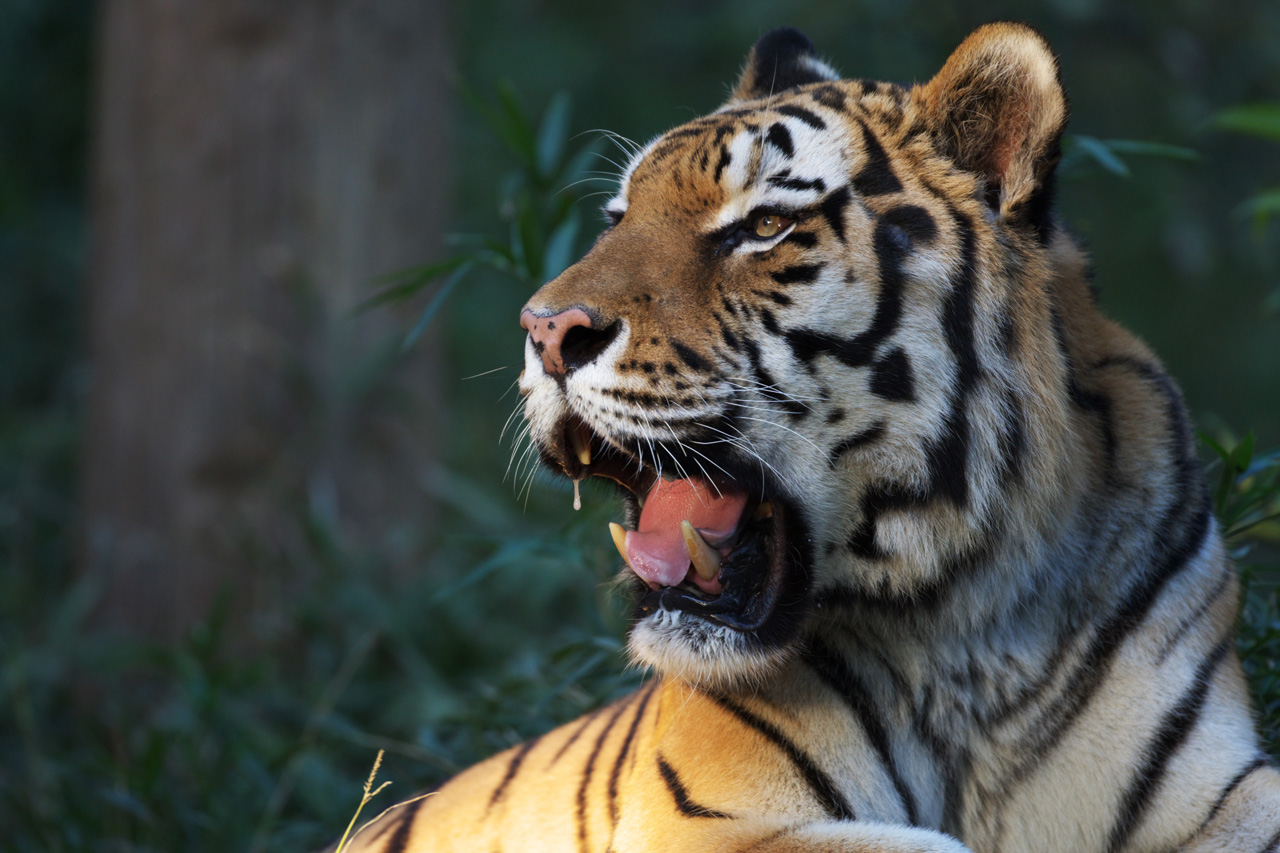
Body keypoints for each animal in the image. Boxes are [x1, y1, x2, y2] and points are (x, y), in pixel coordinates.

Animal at [340, 21, 1280, 850]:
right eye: (616, 218)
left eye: (763, 227)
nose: (543, 329)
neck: (970, 632)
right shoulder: (717, 817)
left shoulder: (1228, 782)